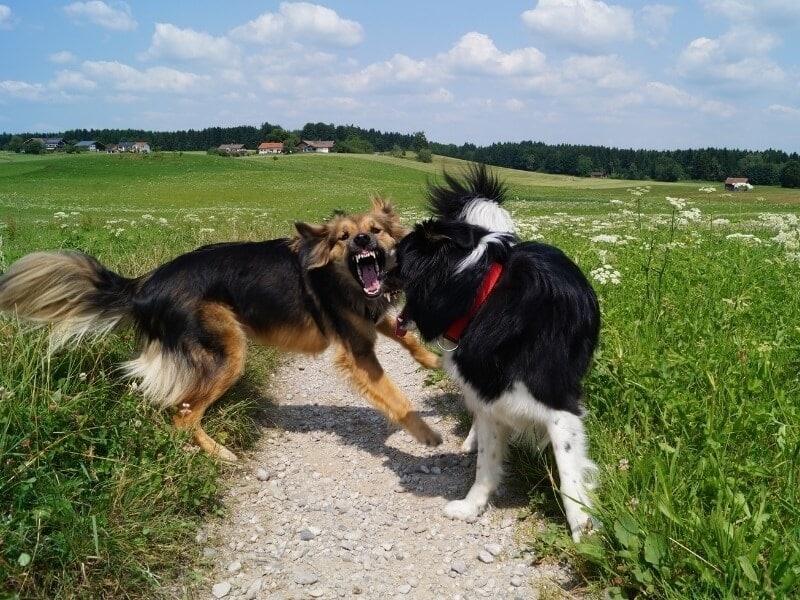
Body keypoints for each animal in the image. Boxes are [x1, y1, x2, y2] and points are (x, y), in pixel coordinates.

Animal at [0, 198, 440, 460]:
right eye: (343, 237)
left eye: (376, 230)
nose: (362, 239)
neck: (342, 277)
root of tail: (144, 283)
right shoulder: (358, 350)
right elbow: (395, 397)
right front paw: (426, 434)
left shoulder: (369, 317)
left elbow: (404, 333)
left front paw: (433, 360)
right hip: (227, 352)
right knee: (183, 416)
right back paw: (219, 452)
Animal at [396, 165, 596, 544]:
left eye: (393, 251)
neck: (481, 295)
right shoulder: (488, 394)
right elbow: (486, 464)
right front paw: (472, 506)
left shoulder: (559, 405)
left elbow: (569, 477)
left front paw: (585, 533)